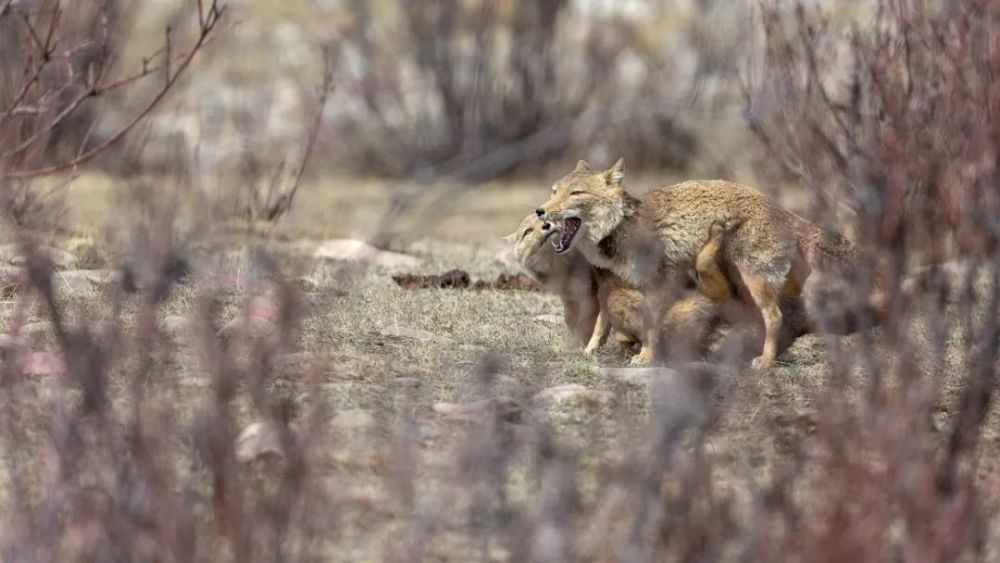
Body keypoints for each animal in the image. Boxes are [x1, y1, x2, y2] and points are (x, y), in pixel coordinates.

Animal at [536, 159, 856, 370]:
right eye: (554, 191)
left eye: (575, 193)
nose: (540, 211)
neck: (621, 227)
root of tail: (786, 211)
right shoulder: (616, 285)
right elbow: (602, 325)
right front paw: (589, 351)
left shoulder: (657, 285)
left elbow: (649, 327)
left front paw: (647, 357)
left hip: (754, 282)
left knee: (774, 318)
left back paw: (763, 361)